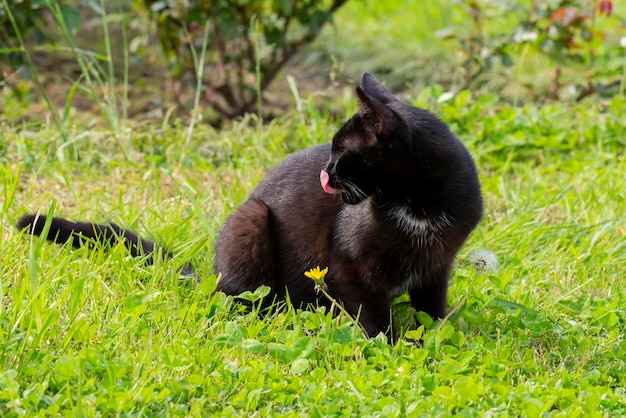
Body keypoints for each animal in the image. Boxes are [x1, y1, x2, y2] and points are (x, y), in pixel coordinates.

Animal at [17, 74, 480, 336]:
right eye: (331, 149)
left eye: (342, 152)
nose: (325, 172)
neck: (417, 206)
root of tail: (212, 274)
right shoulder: (348, 264)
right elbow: (371, 313)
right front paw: (386, 344)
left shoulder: (436, 266)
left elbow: (432, 310)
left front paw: (436, 337)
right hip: (250, 220)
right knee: (239, 300)